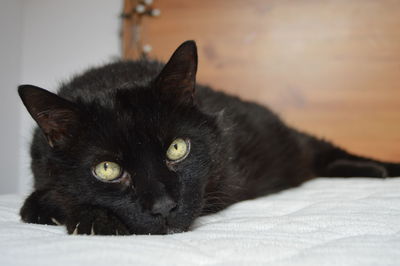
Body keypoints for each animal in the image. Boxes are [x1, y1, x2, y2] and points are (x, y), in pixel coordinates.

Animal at [18, 40, 400, 235]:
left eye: (177, 148)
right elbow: (37, 203)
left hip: (294, 143)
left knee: (321, 152)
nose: (163, 206)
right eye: (107, 169)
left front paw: (93, 219)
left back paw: (382, 169)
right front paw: (91, 216)